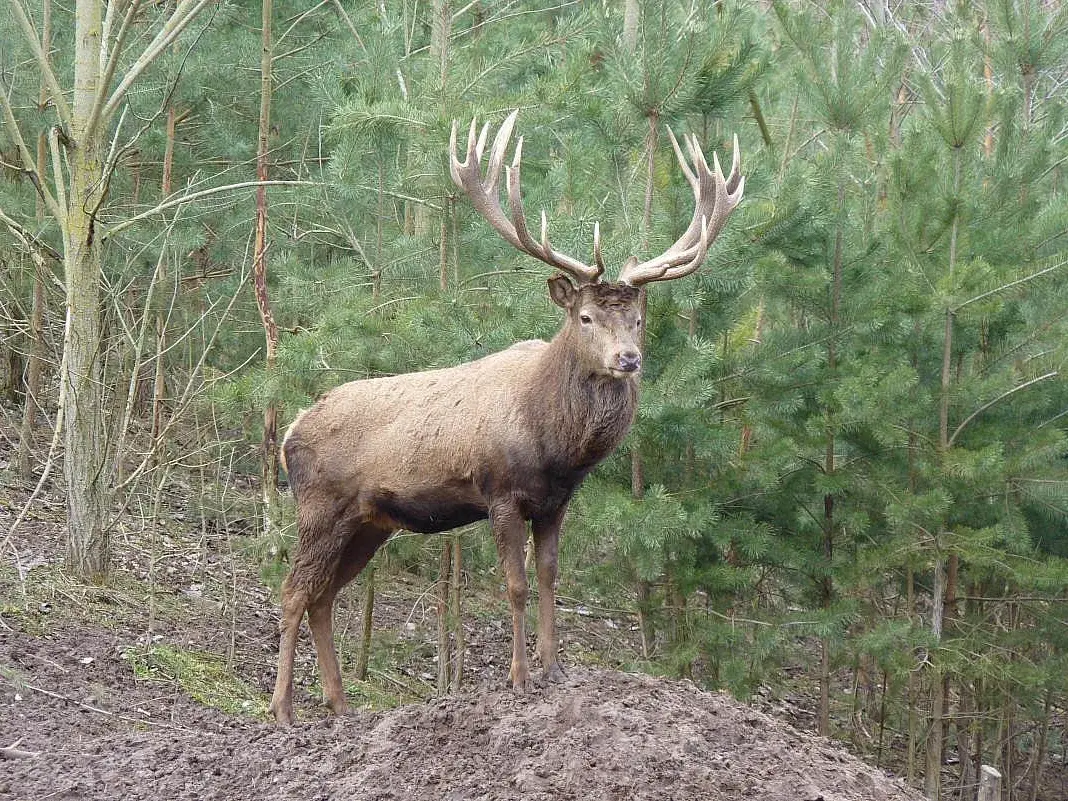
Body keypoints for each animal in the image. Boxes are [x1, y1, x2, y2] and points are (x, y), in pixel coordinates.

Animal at [269, 108, 743, 726]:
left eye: (637, 319)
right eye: (586, 317)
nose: (628, 358)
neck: (555, 446)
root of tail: (289, 432)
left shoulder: (557, 502)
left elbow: (548, 577)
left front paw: (553, 668)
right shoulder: (499, 491)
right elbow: (514, 586)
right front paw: (519, 678)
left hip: (370, 522)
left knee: (324, 595)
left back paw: (341, 704)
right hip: (320, 507)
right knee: (294, 592)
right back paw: (282, 708)